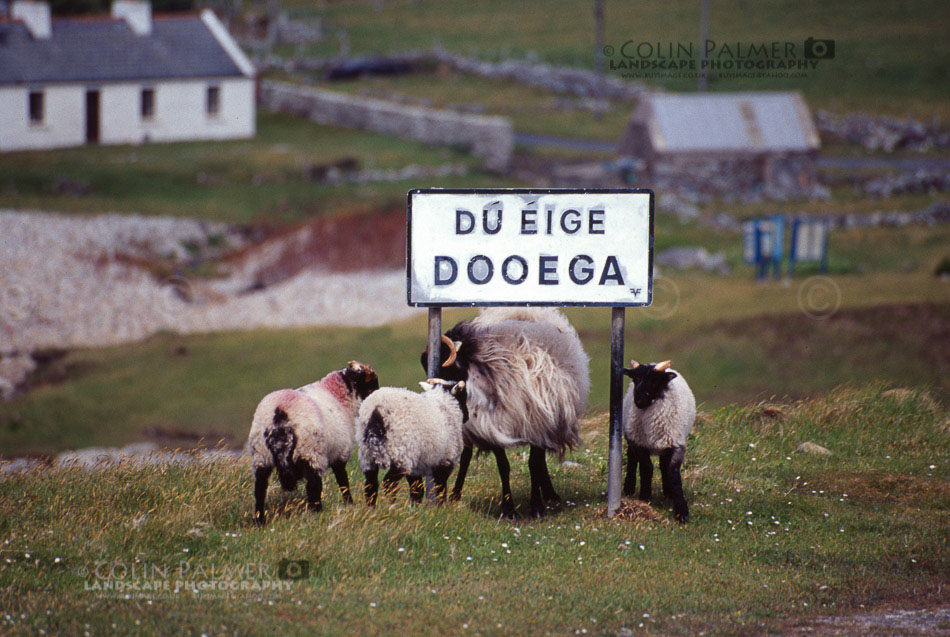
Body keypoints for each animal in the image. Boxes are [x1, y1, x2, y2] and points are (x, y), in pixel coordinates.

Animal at [247, 360, 382, 524]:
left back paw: (260, 520)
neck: (337, 395)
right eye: (371, 386)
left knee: (260, 489)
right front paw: (350, 504)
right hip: (310, 452)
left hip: (261, 455)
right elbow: (343, 481)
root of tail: (280, 413)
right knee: (313, 486)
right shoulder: (340, 454)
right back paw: (317, 513)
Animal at [356, 378, 468, 506]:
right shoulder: (446, 460)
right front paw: (441, 507)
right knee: (389, 483)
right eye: (463, 396)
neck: (444, 404)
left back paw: (372, 508)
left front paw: (415, 508)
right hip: (400, 453)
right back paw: (392, 507)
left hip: (366, 454)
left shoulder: (417, 465)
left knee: (370, 484)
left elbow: (417, 489)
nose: (467, 417)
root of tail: (376, 410)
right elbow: (440, 487)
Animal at [428, 306, 592, 520]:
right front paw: (508, 510)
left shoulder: (539, 425)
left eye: (444, 369)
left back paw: (550, 494)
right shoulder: (493, 427)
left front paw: (537, 507)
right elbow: (503, 466)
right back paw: (456, 495)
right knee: (466, 456)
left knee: (540, 463)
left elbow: (534, 464)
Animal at [624, 358, 700, 520]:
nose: (638, 400)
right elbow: (646, 467)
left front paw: (681, 510)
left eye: (654, 381)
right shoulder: (640, 444)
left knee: (664, 465)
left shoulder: (676, 444)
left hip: (665, 443)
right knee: (632, 459)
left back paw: (668, 492)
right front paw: (645, 496)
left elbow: (672, 471)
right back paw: (629, 487)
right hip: (632, 435)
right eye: (635, 379)